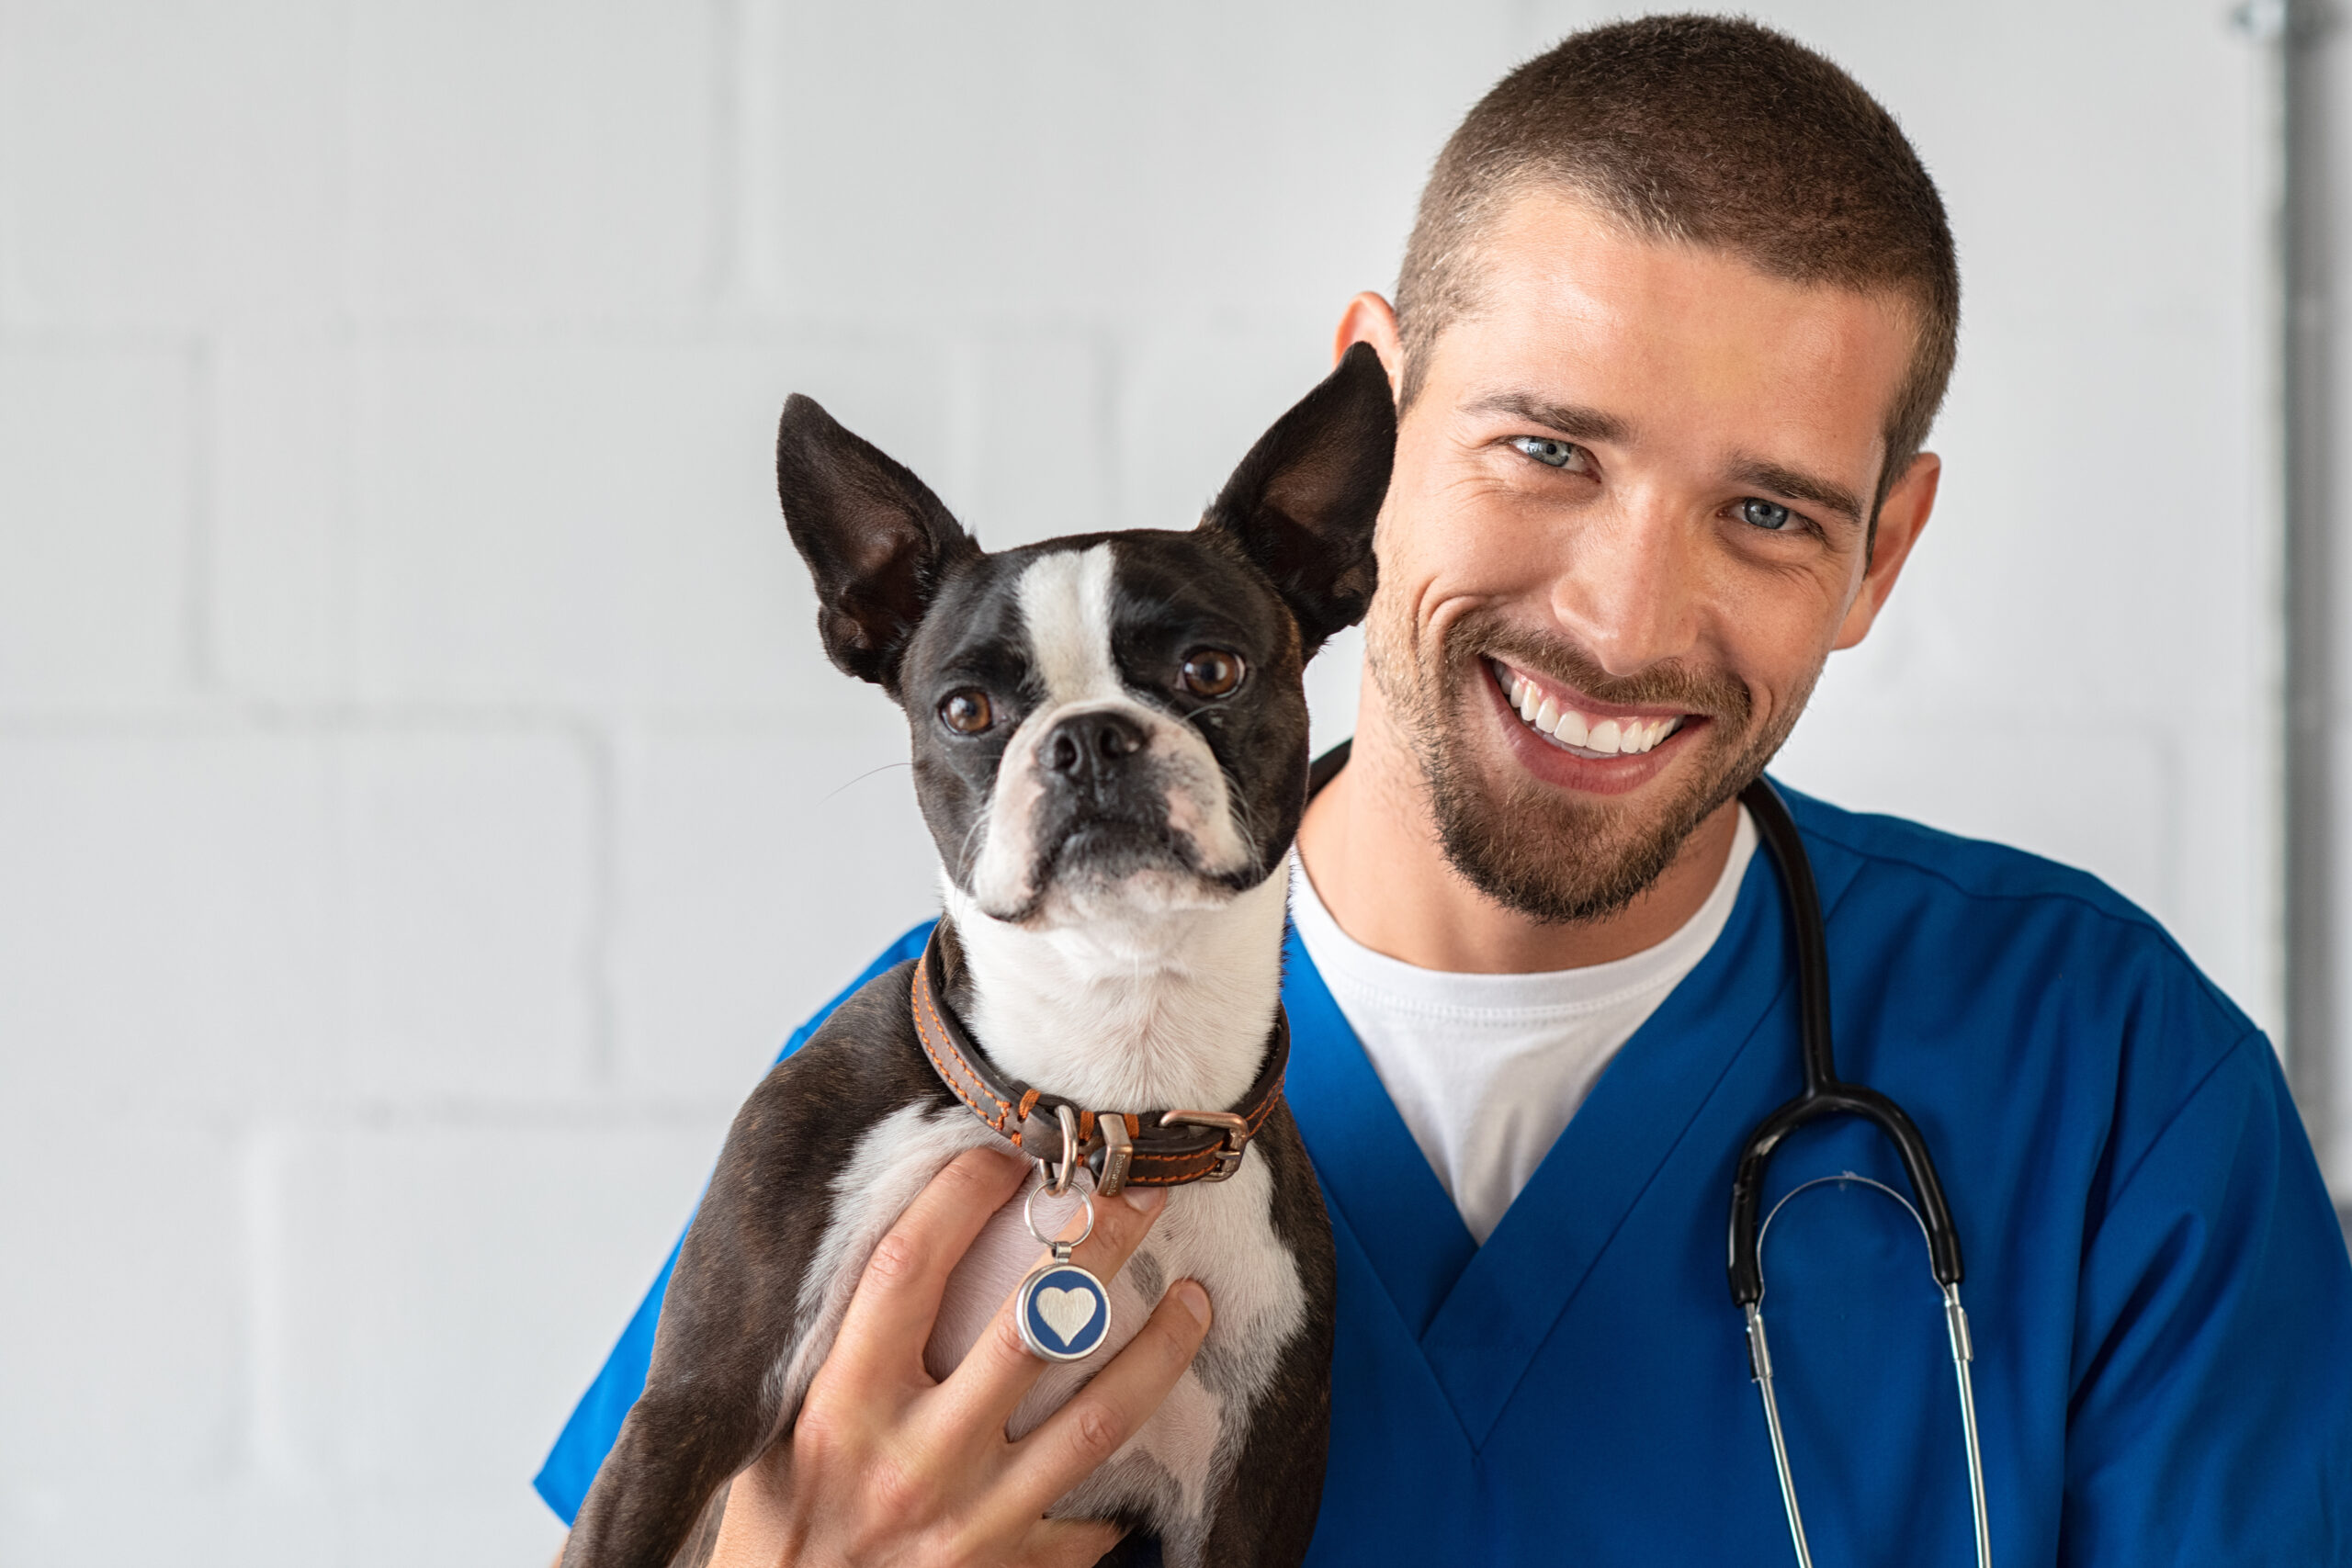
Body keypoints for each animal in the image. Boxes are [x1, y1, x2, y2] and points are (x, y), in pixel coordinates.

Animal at [557, 345, 1383, 1568]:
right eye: (963, 708)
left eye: (1212, 671)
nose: (1089, 738)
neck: (1101, 1087)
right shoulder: (683, 1416)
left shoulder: (1242, 1504)